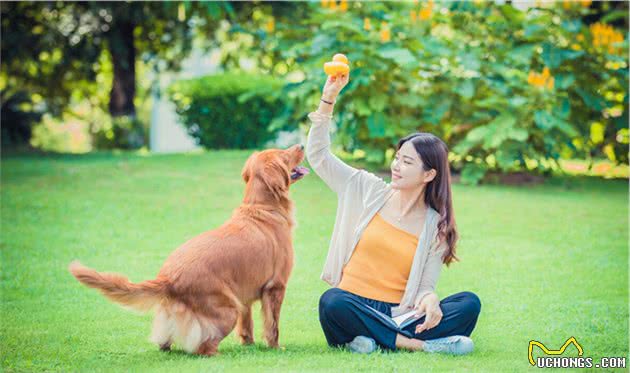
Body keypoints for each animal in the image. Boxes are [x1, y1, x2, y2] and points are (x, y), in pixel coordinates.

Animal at [69, 144, 312, 356]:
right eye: (284, 154)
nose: (302, 145)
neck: (262, 208)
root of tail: (167, 278)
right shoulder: (275, 287)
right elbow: (273, 325)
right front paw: (275, 347)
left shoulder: (244, 294)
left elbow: (247, 325)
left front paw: (248, 344)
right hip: (226, 309)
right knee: (203, 347)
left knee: (165, 344)